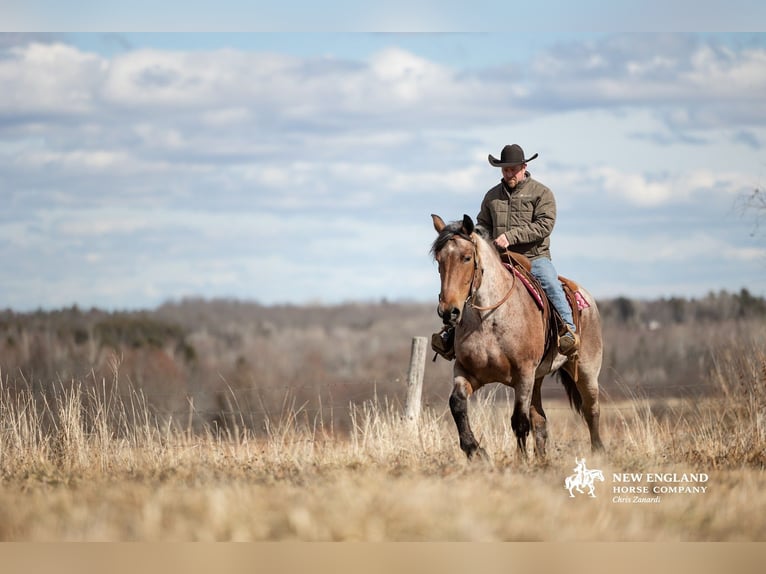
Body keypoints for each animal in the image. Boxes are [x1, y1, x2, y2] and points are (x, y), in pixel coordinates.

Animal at [430, 214, 604, 460]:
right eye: (439, 260)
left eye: (466, 258)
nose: (448, 312)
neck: (489, 320)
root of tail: (586, 297)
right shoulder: (466, 372)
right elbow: (457, 403)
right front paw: (475, 450)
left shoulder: (523, 375)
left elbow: (519, 421)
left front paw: (521, 461)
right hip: (538, 379)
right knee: (540, 420)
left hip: (585, 370)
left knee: (591, 410)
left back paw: (598, 452)